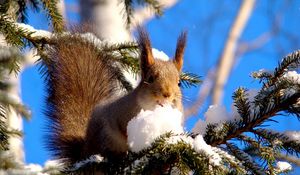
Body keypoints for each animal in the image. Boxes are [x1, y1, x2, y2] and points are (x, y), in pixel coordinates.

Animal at [43, 27, 186, 164]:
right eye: (150, 79)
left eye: (179, 83)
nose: (167, 94)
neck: (153, 109)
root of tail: (85, 151)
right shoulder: (121, 114)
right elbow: (124, 131)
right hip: (105, 137)